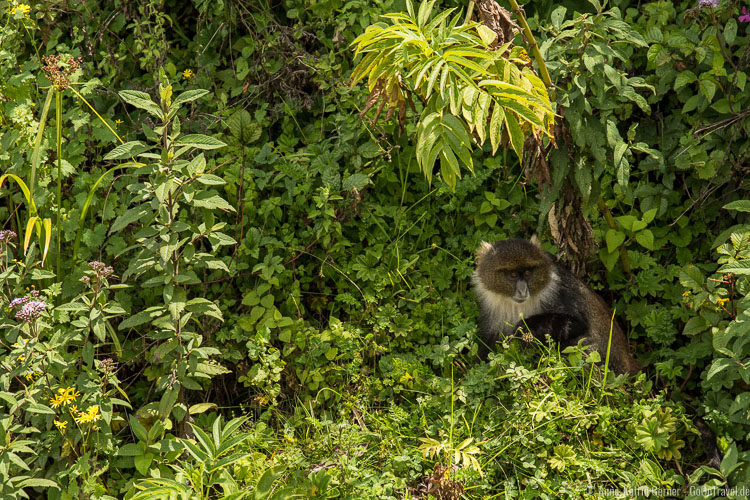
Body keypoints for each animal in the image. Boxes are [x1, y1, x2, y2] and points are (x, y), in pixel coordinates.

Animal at [476, 236, 640, 374]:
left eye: (528, 273)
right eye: (513, 275)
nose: (523, 291)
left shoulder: (560, 289)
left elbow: (577, 324)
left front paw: (524, 327)